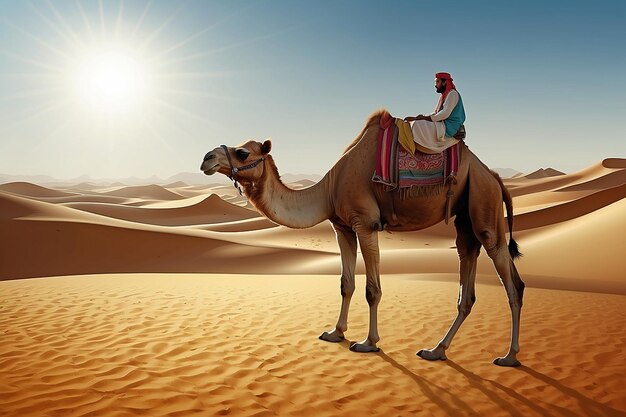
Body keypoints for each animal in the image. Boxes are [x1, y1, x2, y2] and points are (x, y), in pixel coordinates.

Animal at [200, 109, 520, 366]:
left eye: (243, 152)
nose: (206, 157)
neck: (329, 188)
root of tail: (494, 176)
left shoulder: (365, 224)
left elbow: (371, 289)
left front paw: (368, 343)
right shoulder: (342, 227)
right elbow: (346, 283)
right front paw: (335, 332)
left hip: (484, 202)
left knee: (511, 280)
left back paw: (509, 357)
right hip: (466, 216)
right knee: (468, 279)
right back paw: (436, 351)